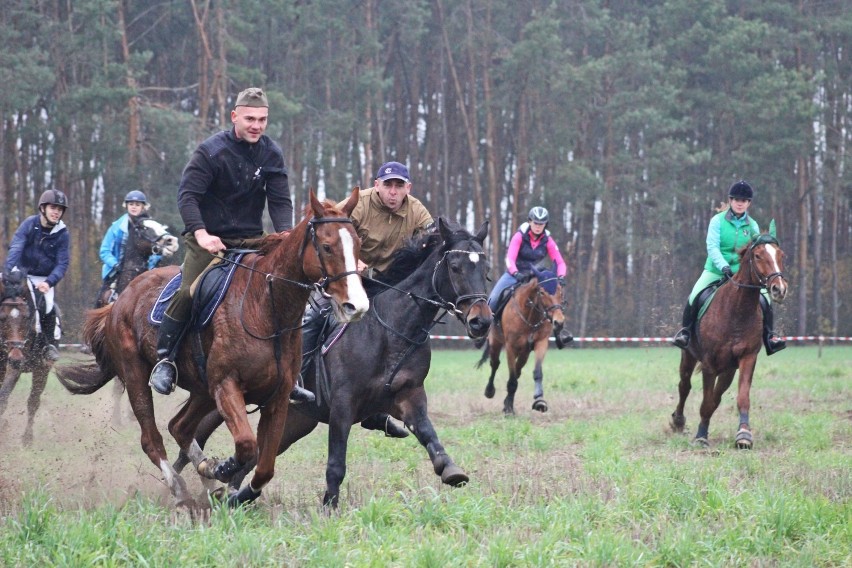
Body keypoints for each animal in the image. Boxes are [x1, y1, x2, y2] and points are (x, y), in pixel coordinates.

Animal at [0, 268, 55, 446]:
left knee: (33, 402)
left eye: (26, 317)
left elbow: (3, 397)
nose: (16, 358)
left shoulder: (14, 367)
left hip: (42, 369)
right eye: (2, 318)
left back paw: (27, 439)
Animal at [55, 193, 368, 512]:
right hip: (136, 375)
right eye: (327, 246)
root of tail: (120, 302)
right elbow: (246, 446)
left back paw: (207, 481)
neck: (266, 308)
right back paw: (182, 490)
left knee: (180, 427)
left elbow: (264, 467)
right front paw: (223, 469)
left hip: (202, 389)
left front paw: (233, 490)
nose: (356, 305)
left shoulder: (277, 398)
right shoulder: (226, 386)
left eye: (358, 243)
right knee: (152, 438)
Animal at [476, 278, 568, 414]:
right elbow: (512, 379)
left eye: (560, 293)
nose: (559, 322)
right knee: (495, 364)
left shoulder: (541, 343)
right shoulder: (510, 347)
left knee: (517, 370)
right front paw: (509, 409)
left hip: (524, 353)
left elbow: (537, 372)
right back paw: (490, 391)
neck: (530, 317)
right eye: (542, 293)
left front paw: (539, 400)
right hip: (495, 343)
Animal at [668, 230, 788, 448]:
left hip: (728, 369)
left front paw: (744, 435)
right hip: (689, 356)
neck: (737, 311)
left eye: (780, 255)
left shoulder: (747, 358)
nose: (779, 289)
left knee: (716, 395)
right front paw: (701, 436)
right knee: (685, 385)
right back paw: (678, 422)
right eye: (758, 256)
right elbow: (705, 400)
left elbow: (740, 398)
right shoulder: (709, 363)